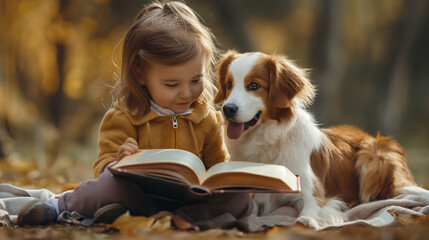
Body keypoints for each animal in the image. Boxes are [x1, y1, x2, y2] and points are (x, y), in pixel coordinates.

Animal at [212, 50, 422, 229]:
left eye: (254, 86)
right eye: (229, 85)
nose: (228, 109)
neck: (266, 139)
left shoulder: (312, 190)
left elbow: (313, 206)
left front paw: (307, 219)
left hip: (374, 157)